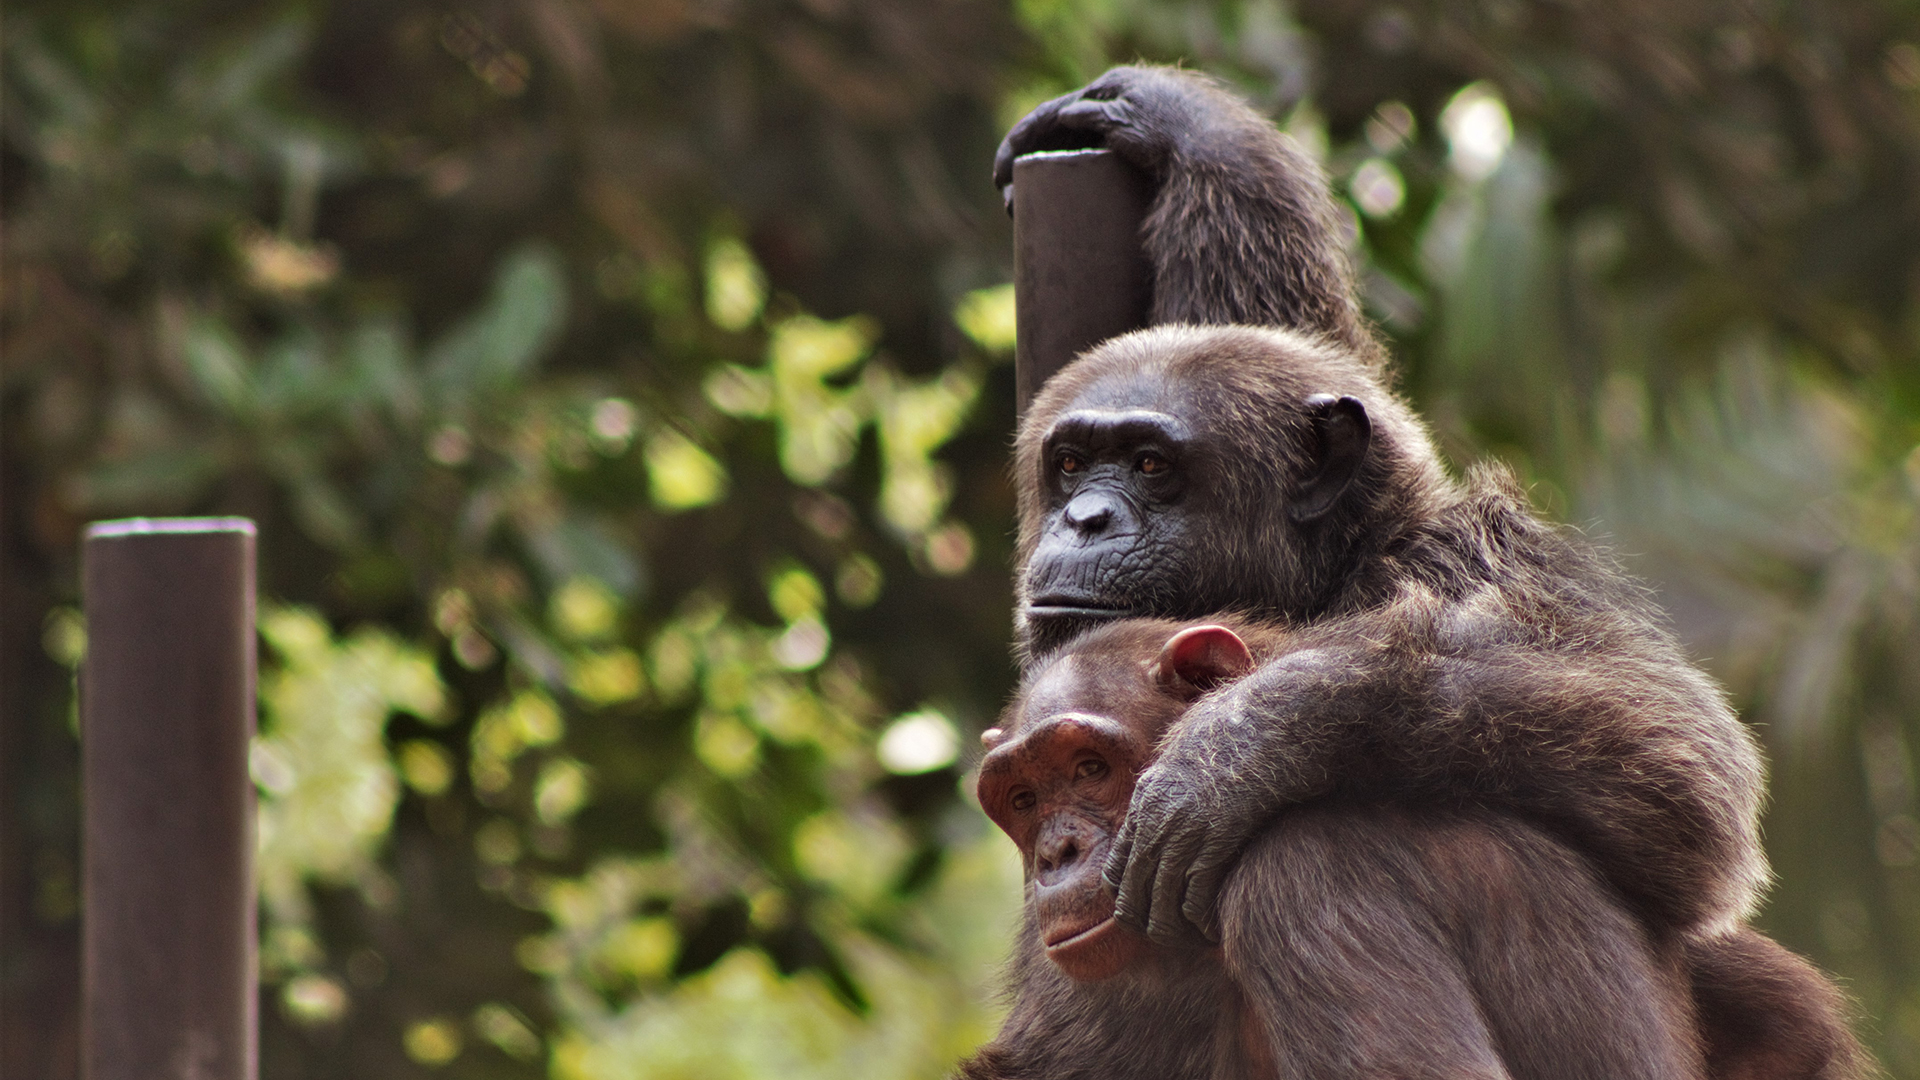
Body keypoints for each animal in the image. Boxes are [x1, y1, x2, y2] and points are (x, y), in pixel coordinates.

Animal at [967, 614, 1866, 1076]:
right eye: (1025, 799)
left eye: (1089, 767)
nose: (1057, 853)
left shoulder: (1305, 883)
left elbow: (1681, 769)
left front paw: (1245, 741)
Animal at [998, 65, 1758, 949]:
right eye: (1071, 463)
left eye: (1151, 466)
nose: (1086, 517)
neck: (1340, 569)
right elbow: (1276, 308)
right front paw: (1174, 117)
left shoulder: (1489, 565)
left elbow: (1677, 752)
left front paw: (1243, 741)